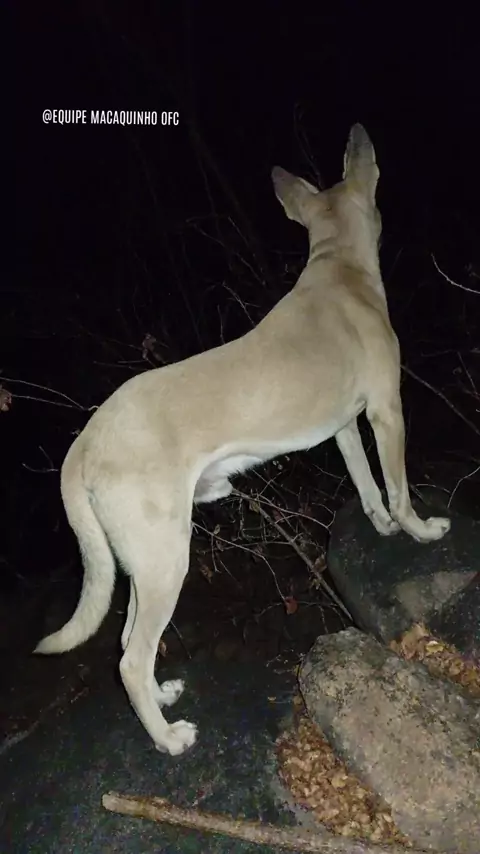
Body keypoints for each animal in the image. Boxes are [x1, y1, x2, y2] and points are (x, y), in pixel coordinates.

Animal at [35, 124, 450, 755]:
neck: (339, 266)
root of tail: (82, 443)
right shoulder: (386, 411)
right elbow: (399, 489)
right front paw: (421, 531)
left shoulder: (345, 427)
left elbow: (368, 486)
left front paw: (380, 525)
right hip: (167, 559)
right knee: (131, 658)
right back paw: (169, 738)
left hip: (141, 565)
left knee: (127, 642)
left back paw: (162, 699)